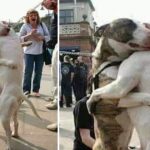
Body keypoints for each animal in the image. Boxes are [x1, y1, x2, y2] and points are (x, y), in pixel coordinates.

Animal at [0, 21, 40, 150]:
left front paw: (11, 64)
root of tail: (19, 93)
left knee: (8, 131)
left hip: (4, 113)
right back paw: (16, 134)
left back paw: (9, 145)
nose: (7, 28)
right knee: (16, 123)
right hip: (14, 110)